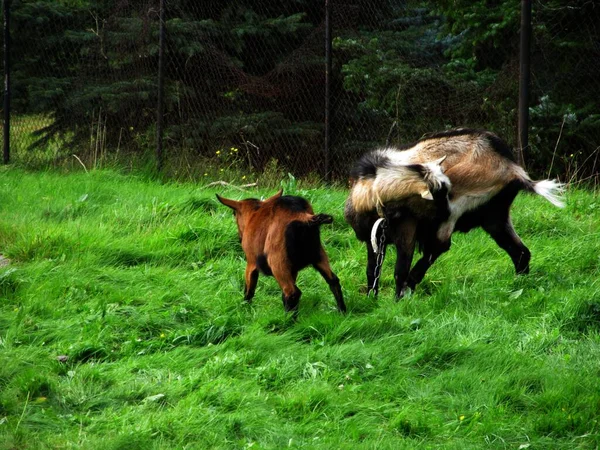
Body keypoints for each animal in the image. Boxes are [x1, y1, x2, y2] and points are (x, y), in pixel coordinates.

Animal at [217, 189, 346, 312]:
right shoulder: (293, 270)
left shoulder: (251, 262)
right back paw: (342, 312)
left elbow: (249, 289)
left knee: (291, 292)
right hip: (318, 255)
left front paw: (245, 307)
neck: (253, 216)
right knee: (333, 281)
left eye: (234, 213)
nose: (239, 238)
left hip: (278, 262)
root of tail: (305, 217)